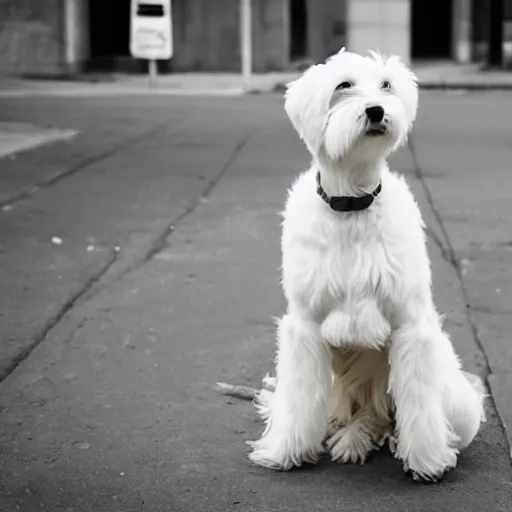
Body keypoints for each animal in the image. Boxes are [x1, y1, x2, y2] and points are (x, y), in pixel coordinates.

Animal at [247, 48, 484, 480]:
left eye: (386, 85)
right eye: (344, 85)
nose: (376, 110)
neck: (352, 203)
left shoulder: (410, 326)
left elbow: (419, 405)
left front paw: (426, 461)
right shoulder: (304, 325)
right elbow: (299, 397)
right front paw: (286, 450)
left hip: (459, 408)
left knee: (388, 416)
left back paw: (373, 439)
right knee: (350, 415)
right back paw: (351, 436)